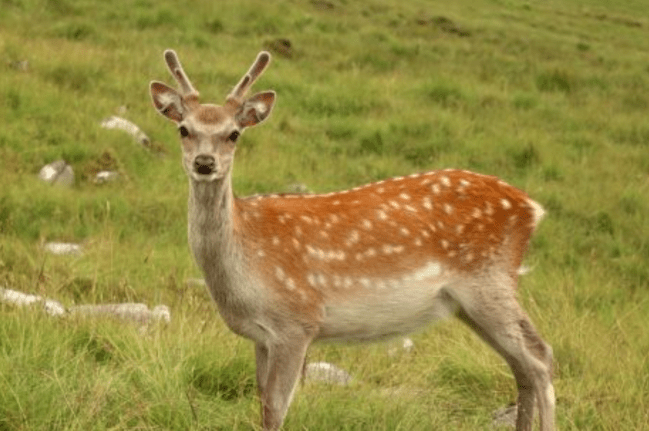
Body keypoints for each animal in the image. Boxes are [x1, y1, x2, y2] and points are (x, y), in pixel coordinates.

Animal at [149, 49, 555, 431]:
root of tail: (531, 208)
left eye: (233, 133)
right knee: (520, 364)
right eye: (183, 129)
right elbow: (262, 401)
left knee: (540, 357)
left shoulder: (297, 322)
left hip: (488, 281)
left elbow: (275, 410)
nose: (204, 163)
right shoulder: (261, 337)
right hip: (469, 302)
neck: (244, 258)